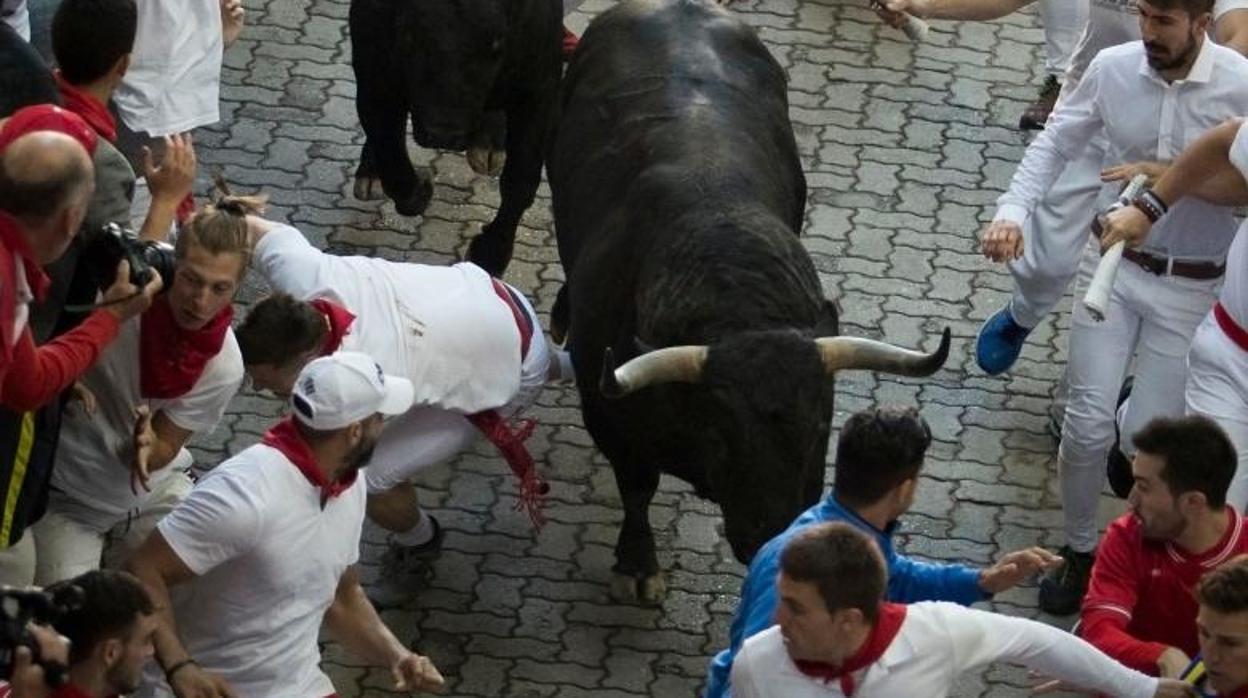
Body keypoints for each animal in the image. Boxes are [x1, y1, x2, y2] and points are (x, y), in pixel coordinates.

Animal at [351, 0, 566, 277]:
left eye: (496, 41)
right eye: (409, 35)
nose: (444, 134)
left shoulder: (540, 88)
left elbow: (521, 180)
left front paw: (491, 253)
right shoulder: (373, 78)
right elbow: (394, 165)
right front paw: (420, 189)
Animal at [546, 0, 943, 604]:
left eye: (819, 425)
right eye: (720, 431)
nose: (768, 530)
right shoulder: (608, 415)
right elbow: (637, 487)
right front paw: (637, 564)